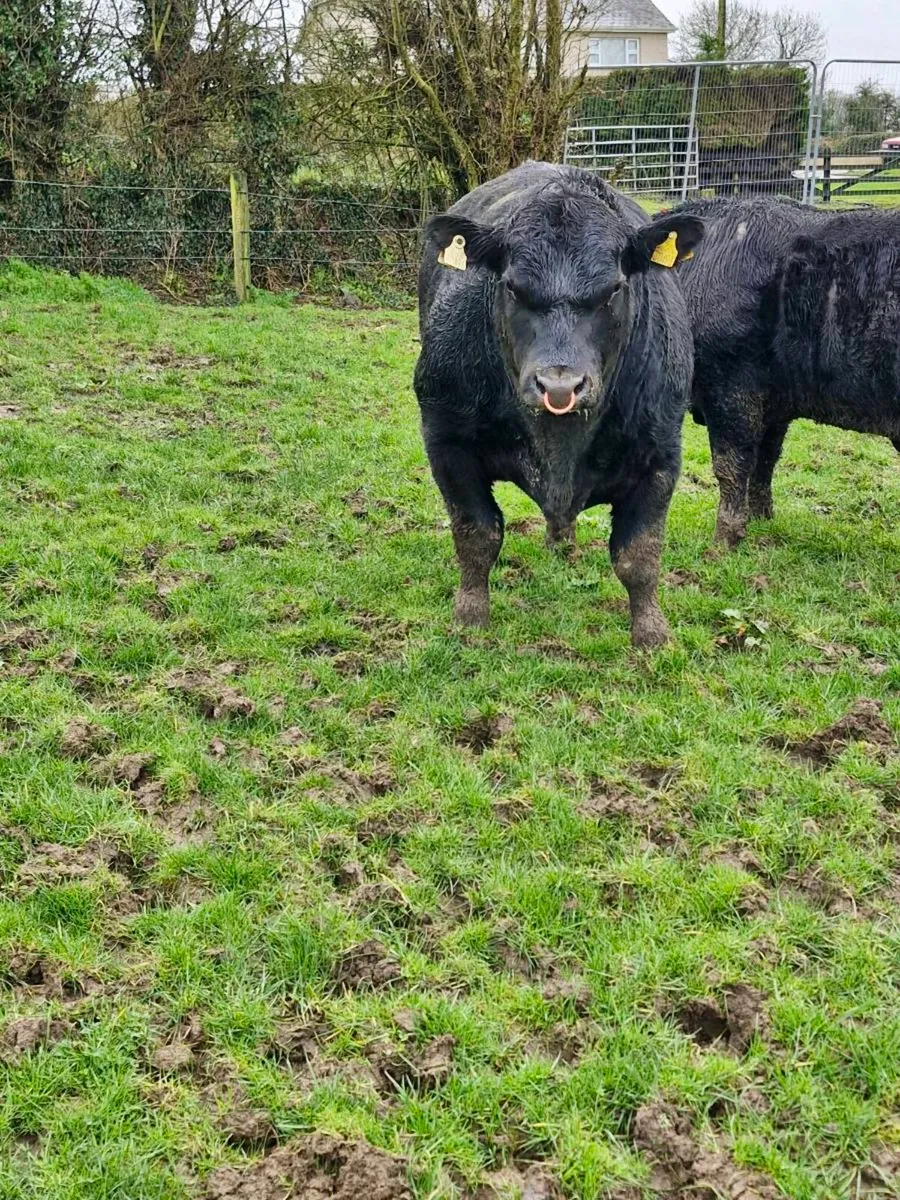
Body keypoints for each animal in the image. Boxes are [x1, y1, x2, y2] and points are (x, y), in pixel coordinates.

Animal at [414, 162, 703, 648]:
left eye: (614, 288)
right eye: (512, 287)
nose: (560, 385)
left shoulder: (661, 454)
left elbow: (639, 554)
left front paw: (652, 633)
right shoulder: (446, 440)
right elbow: (477, 535)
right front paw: (470, 619)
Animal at [671, 196, 900, 547]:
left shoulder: (731, 386)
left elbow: (731, 466)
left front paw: (724, 540)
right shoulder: (775, 401)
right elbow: (764, 462)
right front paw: (760, 521)